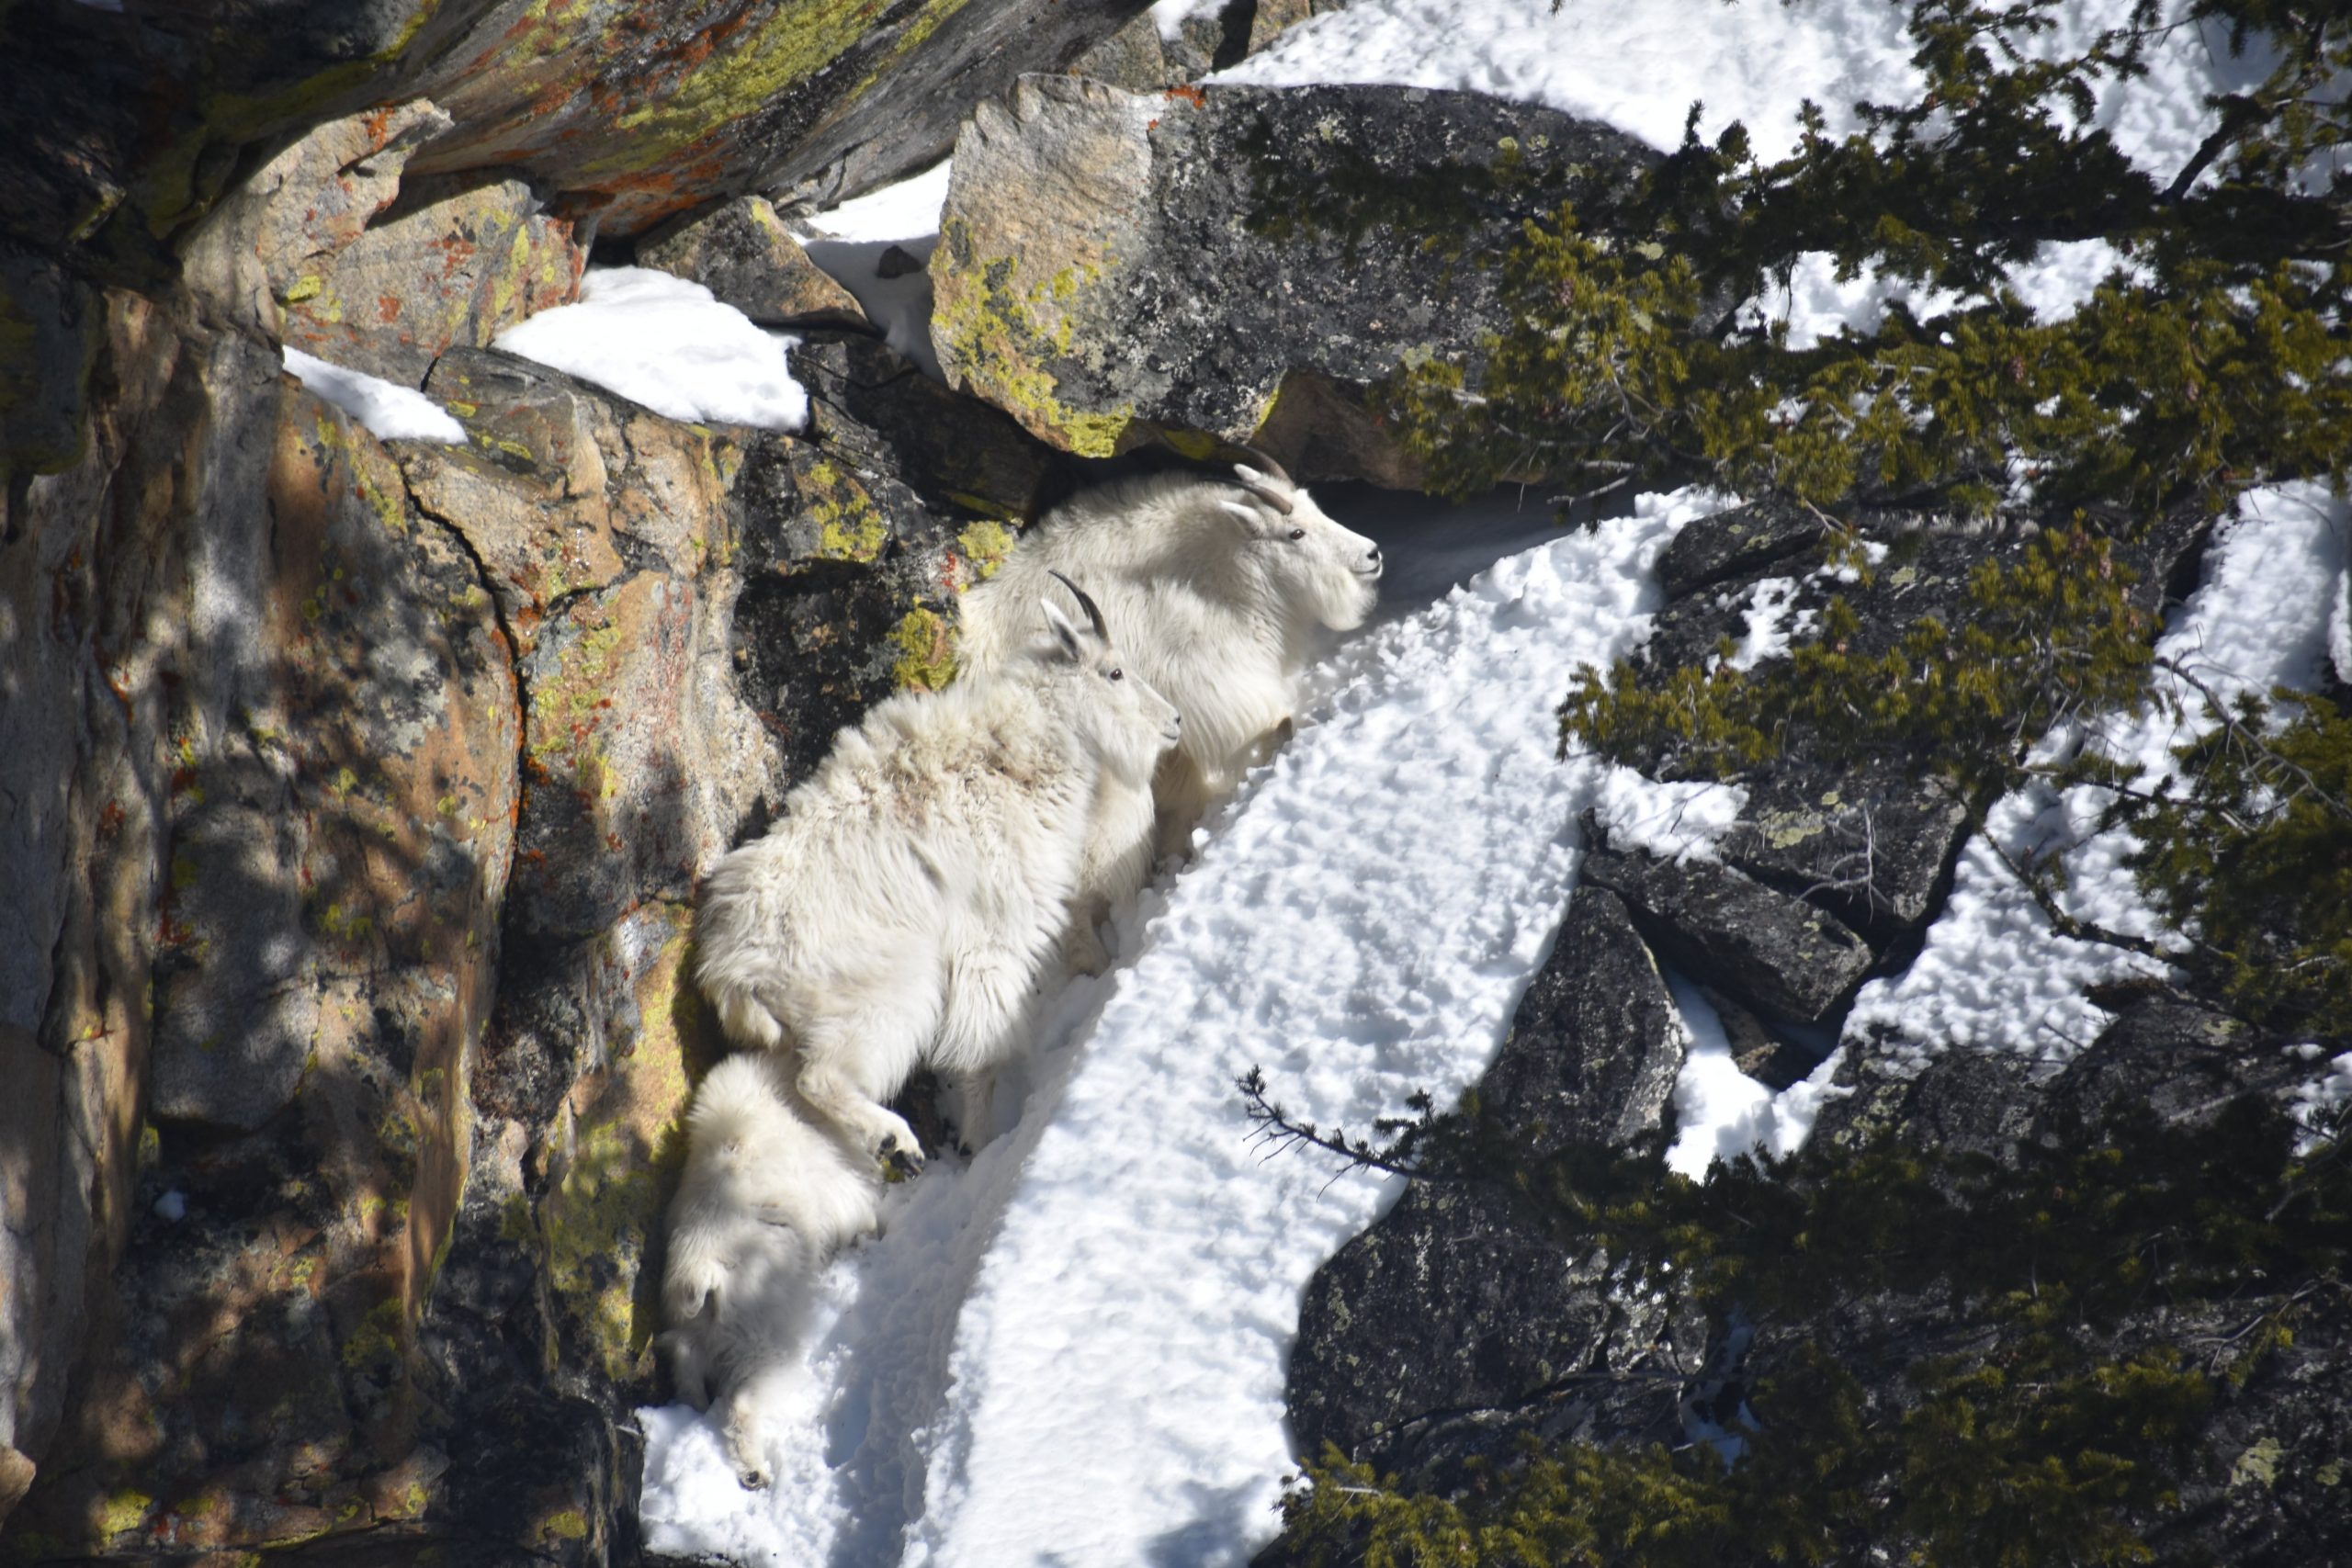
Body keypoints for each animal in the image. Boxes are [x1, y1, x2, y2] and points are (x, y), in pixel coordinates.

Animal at [657, 1050, 881, 1489]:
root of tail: (700, 1273)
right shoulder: (848, 1194)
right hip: (765, 1347)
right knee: (740, 1404)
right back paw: (754, 1471)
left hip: (700, 1334)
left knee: (683, 1356)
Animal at [693, 575, 1180, 1176]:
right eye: (1114, 672)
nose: (1174, 722)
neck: (1017, 751)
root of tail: (730, 972)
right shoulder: (995, 939)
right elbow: (982, 1051)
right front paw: (979, 1141)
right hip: (886, 993)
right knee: (820, 1078)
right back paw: (897, 1143)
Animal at [955, 453, 1383, 969]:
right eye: (1294, 532)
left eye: (1316, 505)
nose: (1372, 554)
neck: (1213, 579)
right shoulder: (1205, 700)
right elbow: (1266, 731)